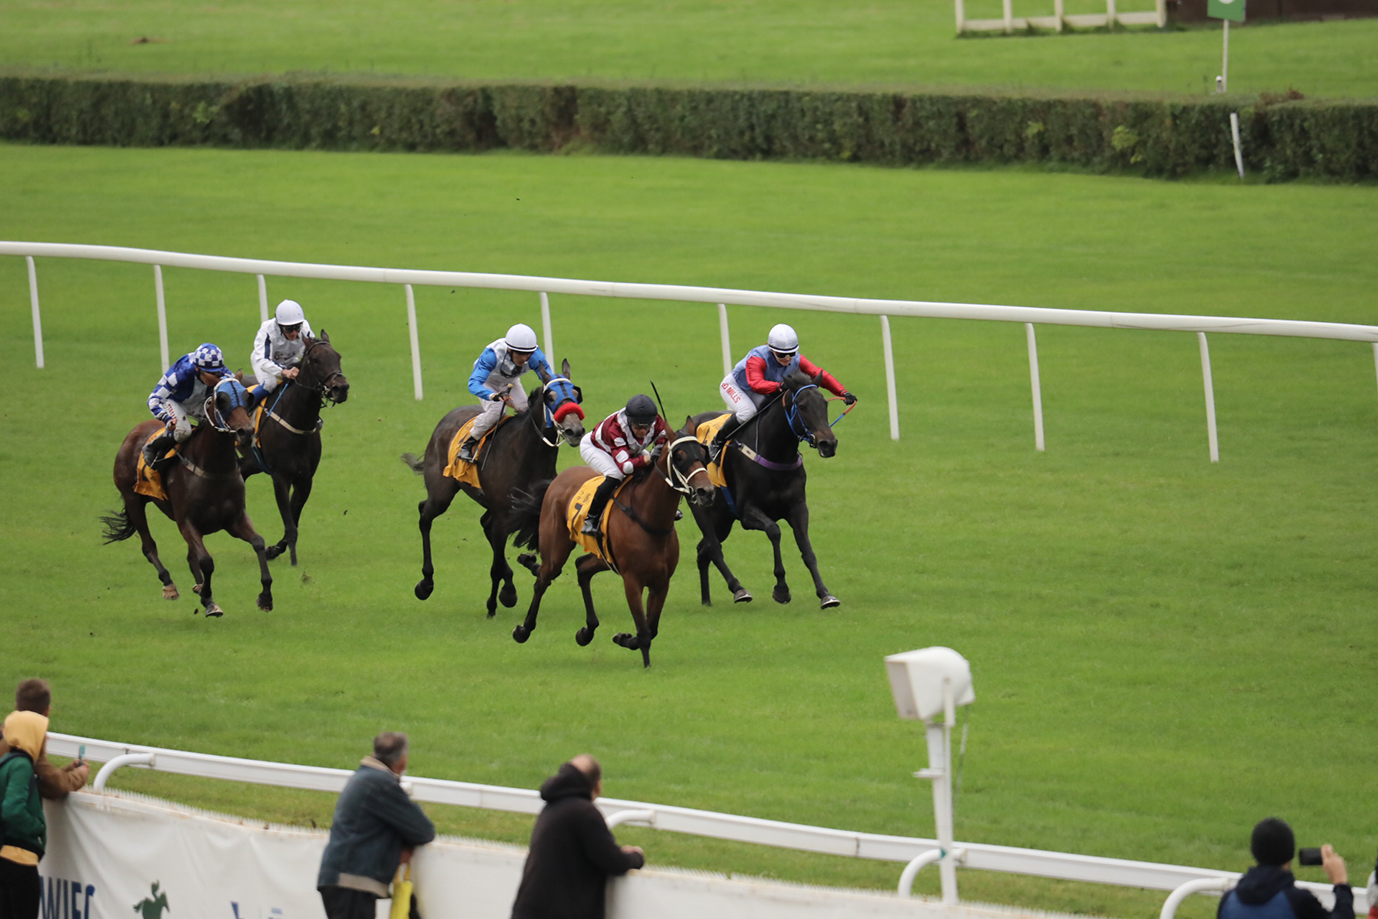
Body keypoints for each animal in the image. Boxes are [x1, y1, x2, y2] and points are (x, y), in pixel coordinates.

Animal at [101, 377, 273, 618]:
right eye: (221, 401)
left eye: (247, 398)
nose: (246, 432)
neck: (213, 468)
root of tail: (133, 433)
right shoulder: (186, 522)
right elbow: (206, 561)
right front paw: (208, 598)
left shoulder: (235, 519)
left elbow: (258, 543)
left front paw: (265, 597)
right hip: (133, 499)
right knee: (149, 546)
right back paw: (169, 584)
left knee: (190, 557)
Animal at [237, 332, 350, 566]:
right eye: (315, 359)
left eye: (338, 356)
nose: (341, 388)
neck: (297, 421)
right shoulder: (280, 478)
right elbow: (289, 523)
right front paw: (293, 561)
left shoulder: (305, 480)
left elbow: (293, 520)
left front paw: (274, 550)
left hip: (251, 463)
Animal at [401, 361, 585, 617]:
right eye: (550, 397)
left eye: (576, 394)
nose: (574, 431)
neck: (526, 454)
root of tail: (447, 418)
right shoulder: (503, 513)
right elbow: (496, 564)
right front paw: (497, 601)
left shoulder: (534, 508)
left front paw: (525, 571)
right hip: (441, 493)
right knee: (424, 515)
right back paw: (426, 582)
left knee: (484, 524)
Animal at [507, 422, 715, 667]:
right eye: (679, 456)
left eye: (702, 452)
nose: (706, 492)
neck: (650, 519)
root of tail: (559, 478)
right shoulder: (632, 581)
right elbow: (644, 631)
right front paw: (646, 664)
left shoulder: (661, 582)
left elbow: (651, 628)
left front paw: (624, 638)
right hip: (556, 547)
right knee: (544, 579)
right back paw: (523, 629)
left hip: (604, 557)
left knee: (581, 567)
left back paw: (586, 631)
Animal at [689, 369, 842, 610]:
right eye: (802, 405)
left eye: (825, 404)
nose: (829, 444)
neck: (776, 453)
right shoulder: (746, 512)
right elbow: (774, 530)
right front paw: (781, 589)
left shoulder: (798, 508)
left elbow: (807, 549)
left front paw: (825, 594)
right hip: (703, 508)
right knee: (712, 548)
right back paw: (738, 591)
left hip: (722, 519)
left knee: (702, 551)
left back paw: (707, 600)